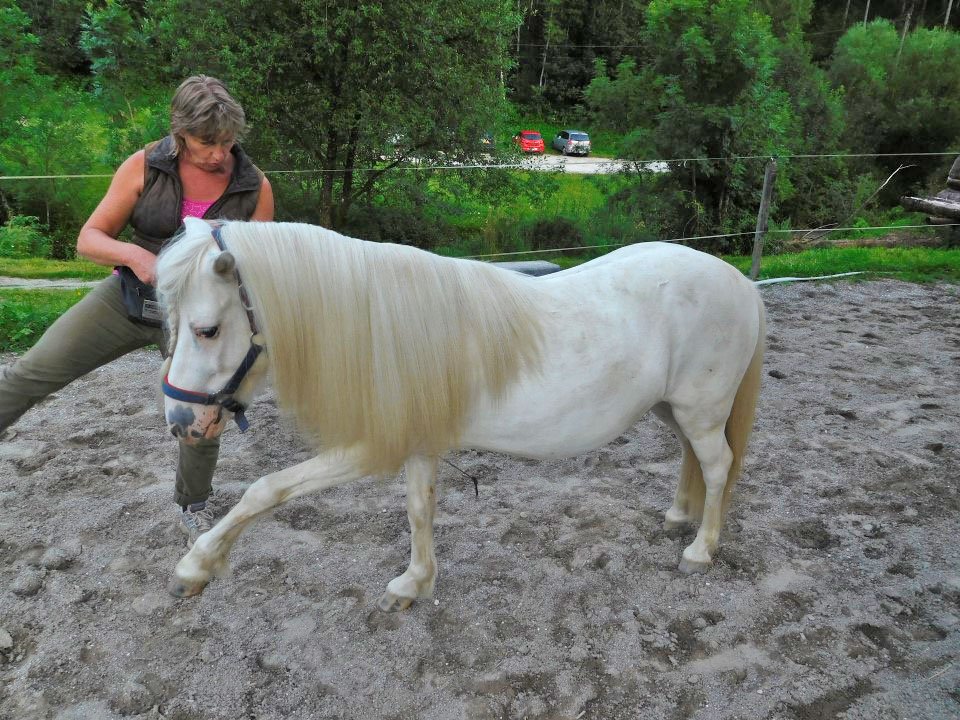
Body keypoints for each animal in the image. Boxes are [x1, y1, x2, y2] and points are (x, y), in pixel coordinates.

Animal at [161, 217, 768, 612]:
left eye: (206, 329)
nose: (181, 422)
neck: (381, 326)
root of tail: (739, 282)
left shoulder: (373, 444)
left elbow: (266, 489)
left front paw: (194, 567)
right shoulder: (419, 441)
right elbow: (419, 511)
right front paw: (413, 585)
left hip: (700, 410)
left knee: (718, 466)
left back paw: (700, 550)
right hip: (674, 410)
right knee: (693, 458)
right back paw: (679, 516)